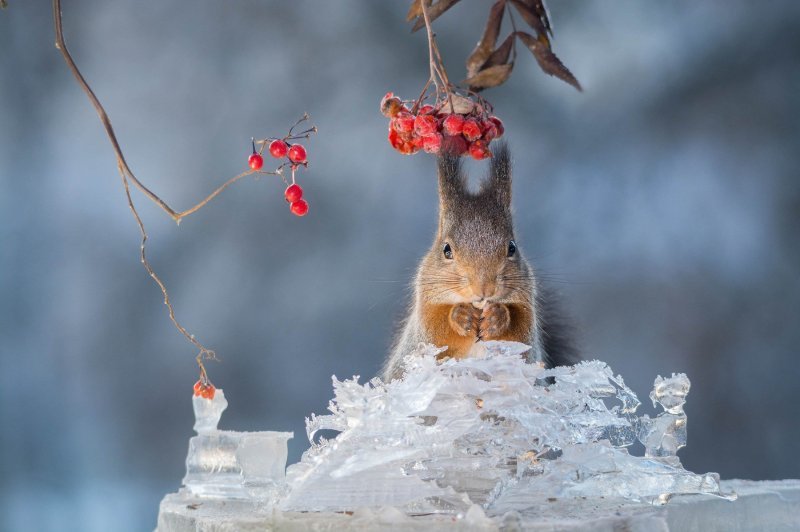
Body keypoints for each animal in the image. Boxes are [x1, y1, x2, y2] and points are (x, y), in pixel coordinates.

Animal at [382, 143, 576, 380]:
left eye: (512, 247)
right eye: (446, 250)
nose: (484, 289)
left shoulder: (527, 308)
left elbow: (521, 334)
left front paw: (498, 317)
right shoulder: (424, 314)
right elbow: (435, 331)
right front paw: (460, 316)